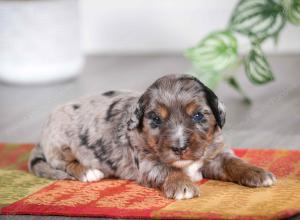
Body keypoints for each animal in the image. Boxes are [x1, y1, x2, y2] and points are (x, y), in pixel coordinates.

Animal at [28, 74, 276, 199]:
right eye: (156, 119)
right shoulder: (147, 161)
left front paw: (258, 173)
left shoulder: (215, 153)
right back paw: (89, 172)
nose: (179, 148)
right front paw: (182, 185)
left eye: (198, 115)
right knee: (67, 164)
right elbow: (168, 169)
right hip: (60, 143)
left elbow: (233, 162)